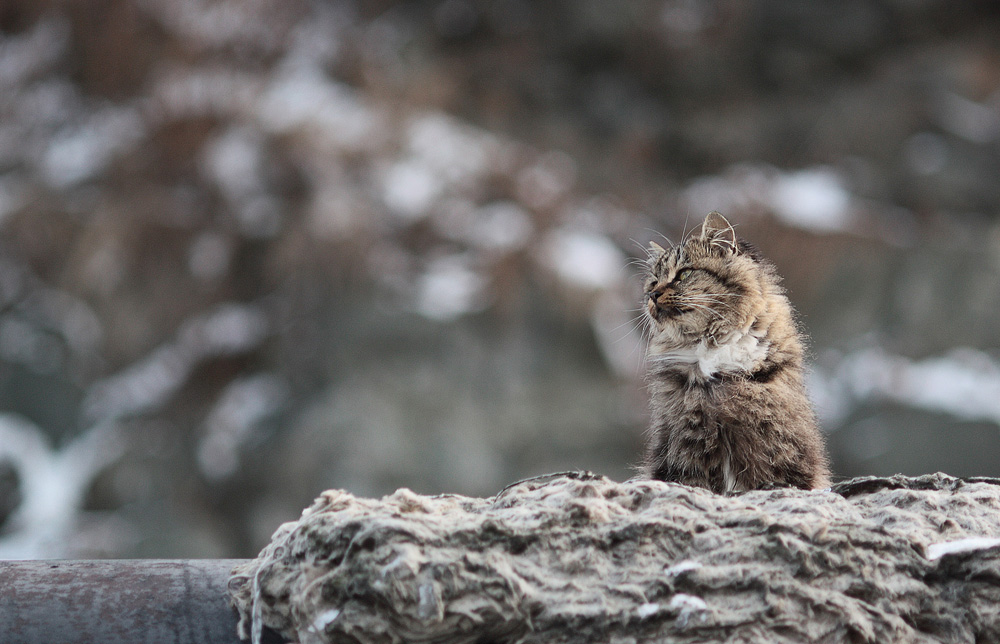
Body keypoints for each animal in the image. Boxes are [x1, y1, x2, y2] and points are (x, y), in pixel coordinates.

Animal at [640, 211, 828, 494]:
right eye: (652, 281)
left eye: (684, 274)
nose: (652, 294)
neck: (711, 347)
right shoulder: (682, 444)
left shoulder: (779, 443)